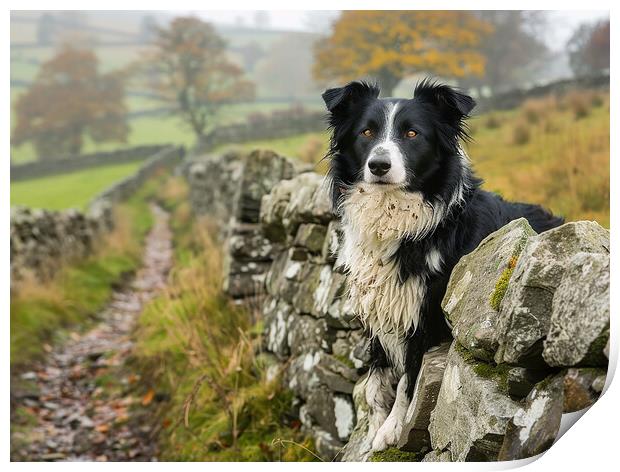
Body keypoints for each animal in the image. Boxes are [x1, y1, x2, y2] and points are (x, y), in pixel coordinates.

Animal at [322, 79, 564, 452]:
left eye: (411, 133)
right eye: (366, 132)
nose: (378, 165)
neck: (398, 218)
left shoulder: (427, 314)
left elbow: (408, 377)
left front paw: (391, 429)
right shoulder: (381, 306)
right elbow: (375, 382)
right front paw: (373, 428)